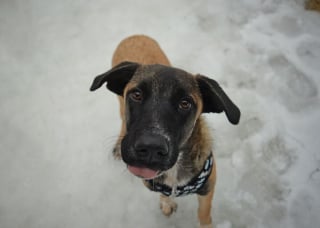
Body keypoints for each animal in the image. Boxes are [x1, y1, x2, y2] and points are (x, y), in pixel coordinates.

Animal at [90, 34, 240, 227]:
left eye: (185, 103)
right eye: (136, 95)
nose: (151, 148)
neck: (176, 170)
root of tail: (135, 35)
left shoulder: (208, 188)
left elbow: (204, 213)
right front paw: (166, 203)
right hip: (120, 103)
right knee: (123, 119)